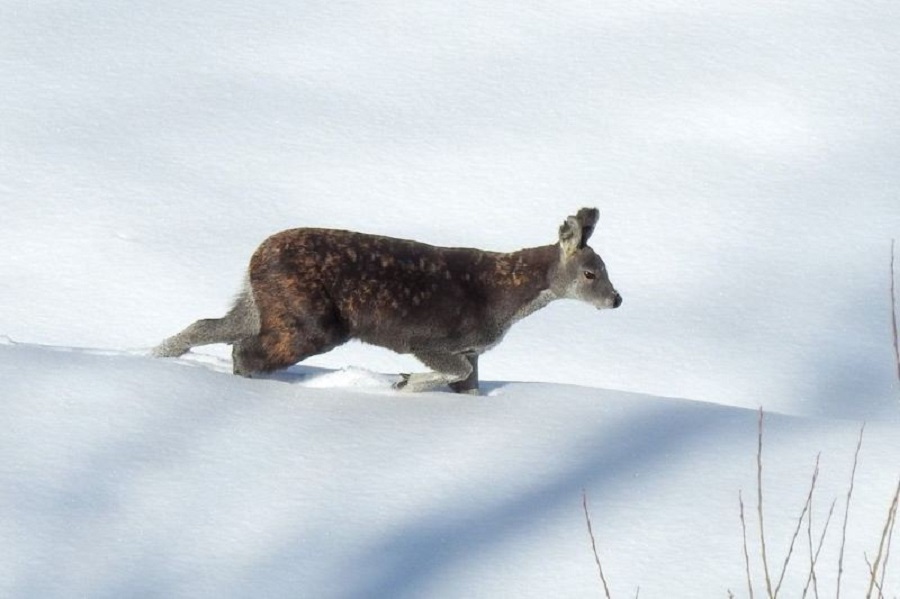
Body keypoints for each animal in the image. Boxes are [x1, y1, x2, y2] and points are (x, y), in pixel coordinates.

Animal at [153, 206, 620, 394]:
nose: (616, 300)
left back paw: (155, 355)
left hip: (262, 305)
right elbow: (451, 371)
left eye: (606, 267)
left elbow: (469, 386)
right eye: (590, 273)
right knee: (244, 351)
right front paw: (404, 382)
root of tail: (256, 254)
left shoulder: (473, 351)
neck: (507, 298)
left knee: (212, 327)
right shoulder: (431, 340)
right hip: (310, 321)